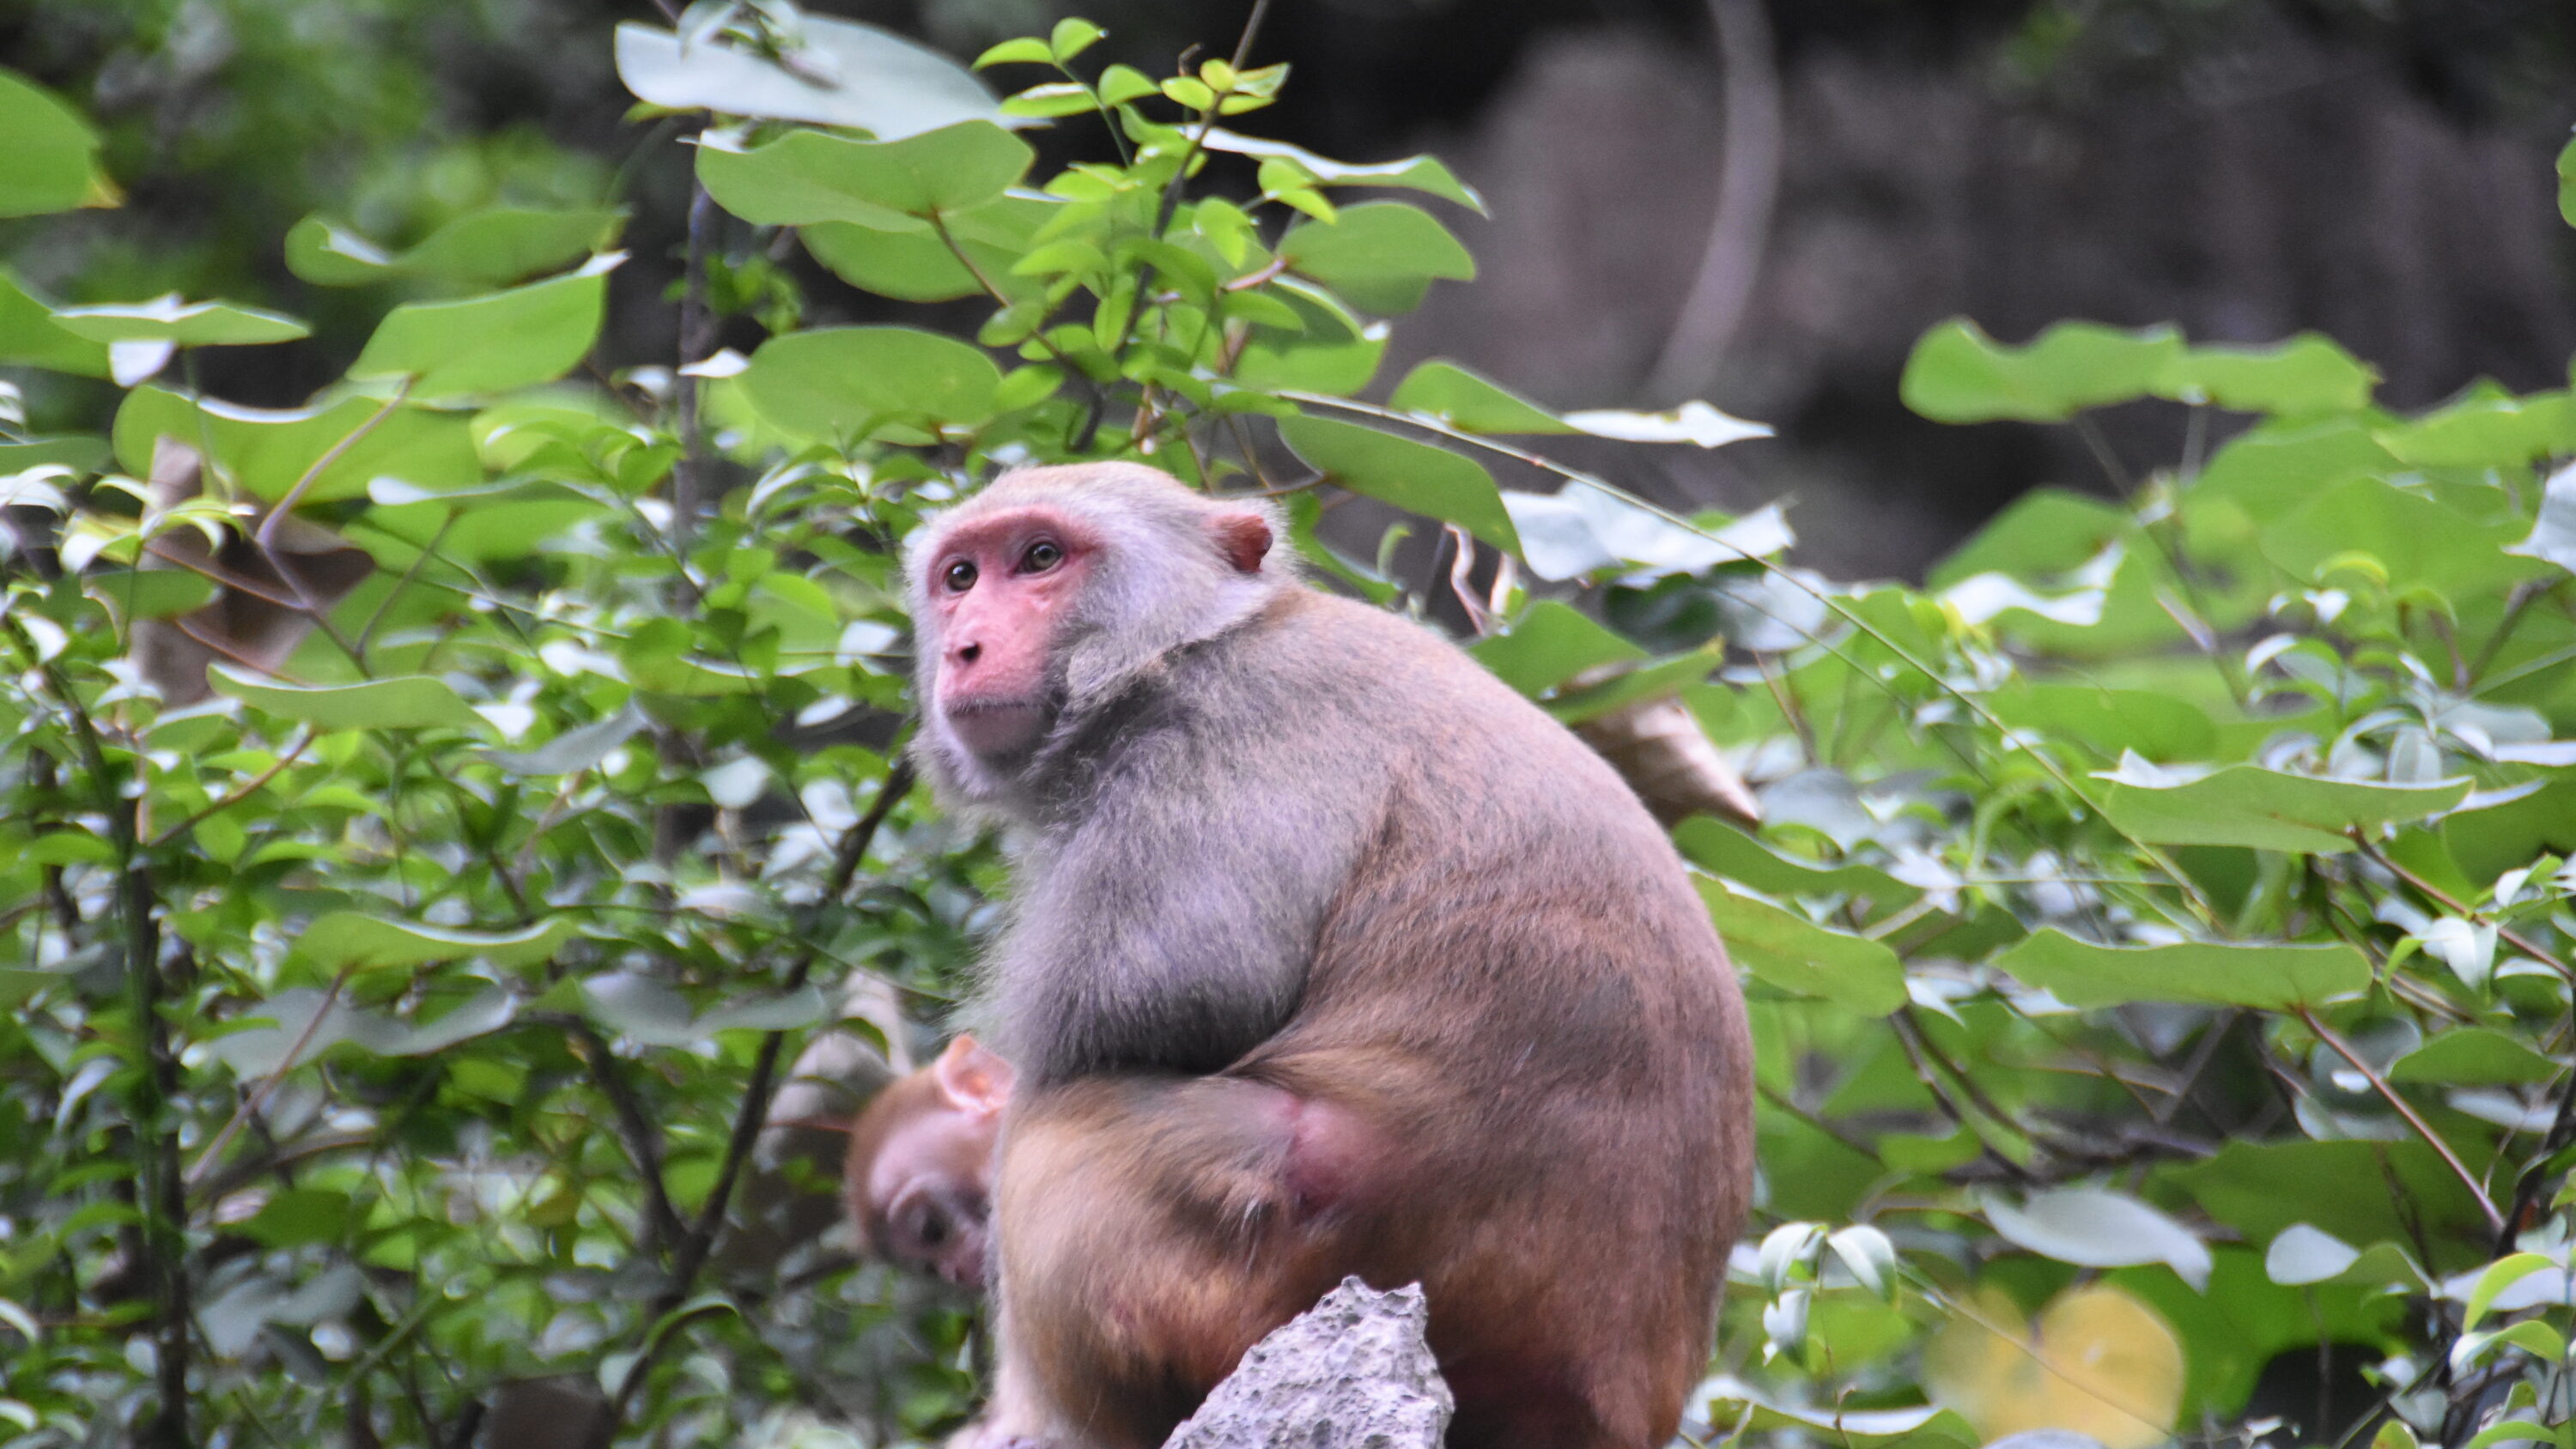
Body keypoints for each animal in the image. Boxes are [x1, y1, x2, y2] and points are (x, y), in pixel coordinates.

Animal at [902, 461, 1754, 1449]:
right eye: (960, 577)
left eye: (1042, 558)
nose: (964, 647)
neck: (1188, 641)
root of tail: (1618, 1399)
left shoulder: (1215, 737)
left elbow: (1158, 996)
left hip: (1267, 1251)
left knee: (1055, 1121)